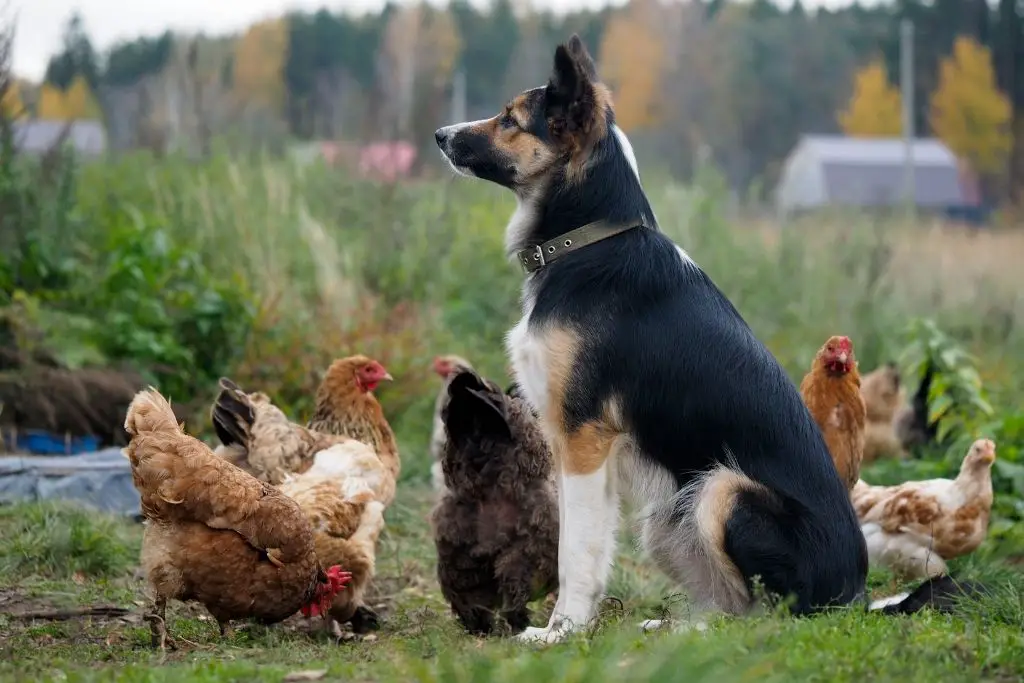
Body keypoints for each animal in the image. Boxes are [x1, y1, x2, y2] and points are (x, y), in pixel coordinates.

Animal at [434, 34, 872, 643]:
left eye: (510, 120)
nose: (439, 135)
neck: (587, 241)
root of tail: (856, 595)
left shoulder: (583, 438)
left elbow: (575, 552)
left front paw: (561, 632)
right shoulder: (576, 447)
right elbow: (586, 544)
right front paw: (575, 625)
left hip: (720, 492)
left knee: (770, 617)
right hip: (669, 517)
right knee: (735, 605)